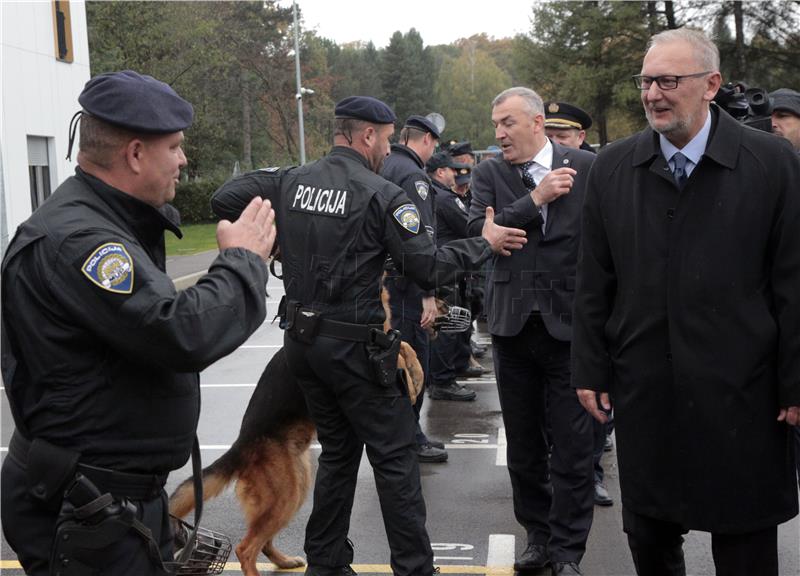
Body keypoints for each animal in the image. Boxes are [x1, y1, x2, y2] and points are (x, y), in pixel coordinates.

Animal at [170, 296, 424, 576]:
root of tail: (241, 445)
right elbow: (398, 353)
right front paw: (411, 384)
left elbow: (406, 346)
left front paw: (416, 374)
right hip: (286, 495)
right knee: (246, 549)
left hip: (296, 487)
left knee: (263, 542)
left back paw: (285, 561)